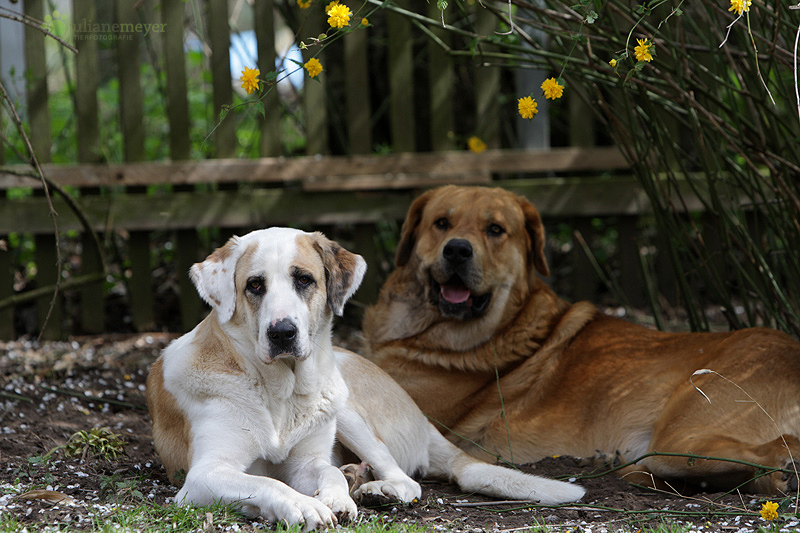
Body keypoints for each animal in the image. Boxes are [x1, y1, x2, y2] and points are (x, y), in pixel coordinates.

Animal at [145, 227, 588, 528]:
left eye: (304, 279)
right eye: (254, 285)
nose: (282, 332)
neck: (280, 394)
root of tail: (422, 418)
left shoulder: (307, 460)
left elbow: (321, 470)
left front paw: (337, 497)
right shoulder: (205, 475)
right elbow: (269, 483)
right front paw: (304, 504)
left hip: (346, 406)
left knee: (407, 480)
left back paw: (375, 488)